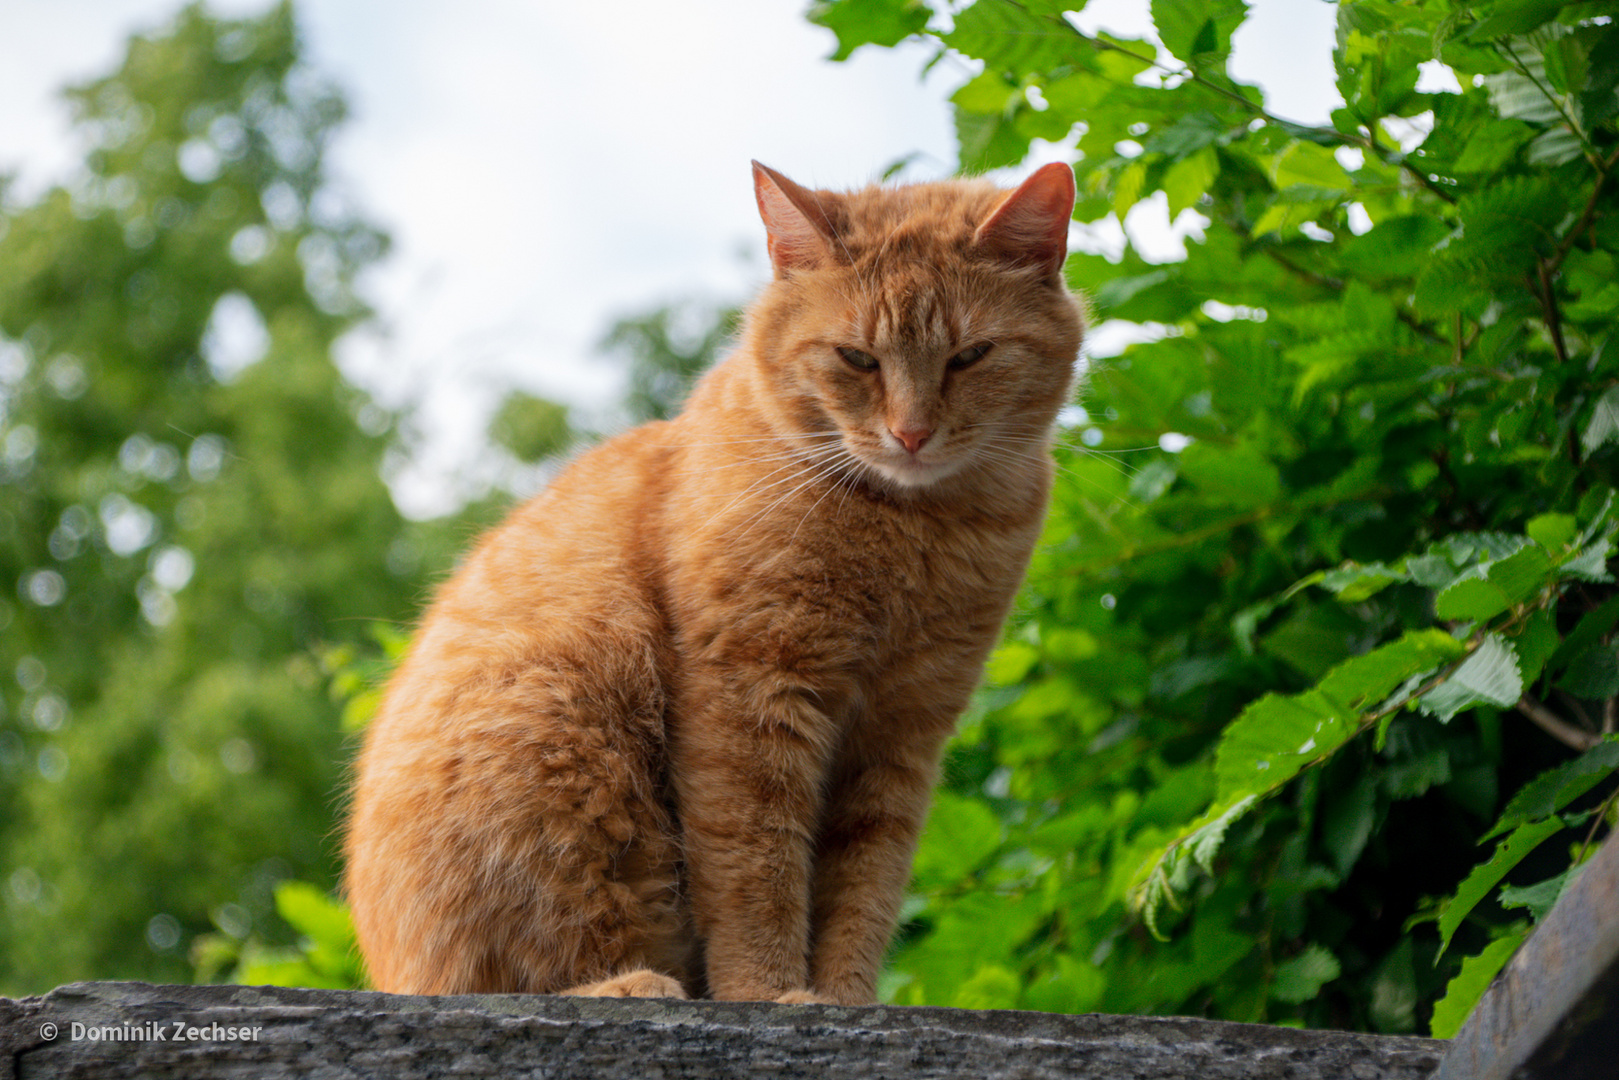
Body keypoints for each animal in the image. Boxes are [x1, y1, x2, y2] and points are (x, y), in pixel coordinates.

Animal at [343, 160, 1081, 1003]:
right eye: (856, 359)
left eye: (970, 355)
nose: (911, 433)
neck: (911, 531)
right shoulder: (748, 700)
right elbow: (756, 870)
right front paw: (769, 993)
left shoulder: (901, 737)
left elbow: (864, 888)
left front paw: (844, 998)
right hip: (561, 723)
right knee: (496, 976)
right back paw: (627, 985)